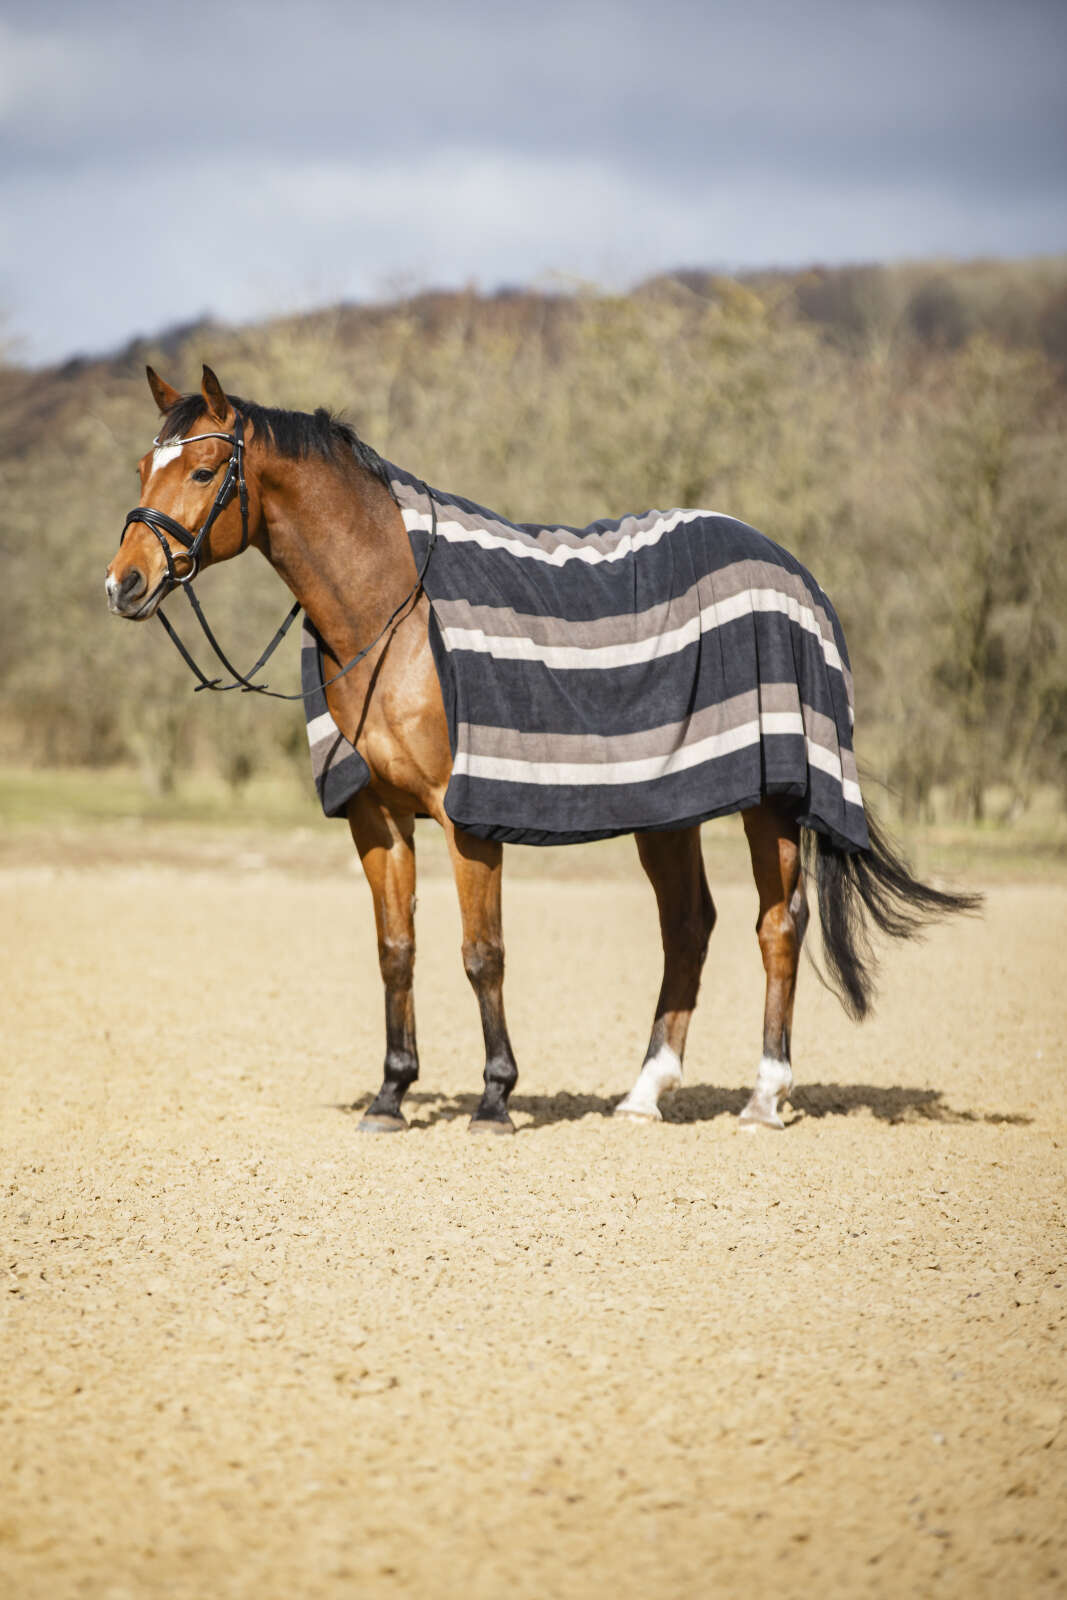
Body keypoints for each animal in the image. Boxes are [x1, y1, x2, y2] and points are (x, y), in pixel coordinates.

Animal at [105, 364, 978, 1134]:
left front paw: (494, 1099)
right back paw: (643, 1095)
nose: (124, 584)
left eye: (205, 469)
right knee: (687, 925)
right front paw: (390, 1097)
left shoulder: (466, 817)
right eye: (144, 466)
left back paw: (763, 1097)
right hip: (668, 809)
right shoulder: (375, 819)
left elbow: (481, 953)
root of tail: (792, 571)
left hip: (771, 800)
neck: (393, 615)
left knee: (776, 926)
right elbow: (396, 951)